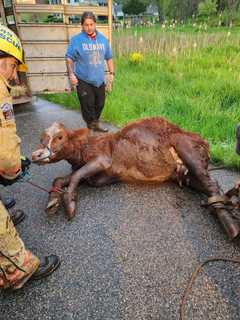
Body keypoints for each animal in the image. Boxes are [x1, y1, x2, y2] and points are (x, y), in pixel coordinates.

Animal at [32, 117, 240, 240]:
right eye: (41, 138)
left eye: (60, 137)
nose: (36, 154)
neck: (83, 150)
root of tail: (203, 140)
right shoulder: (98, 176)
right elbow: (60, 179)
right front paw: (53, 201)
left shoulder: (102, 160)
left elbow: (75, 176)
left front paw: (69, 203)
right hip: (184, 175)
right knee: (213, 186)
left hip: (188, 150)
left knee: (211, 184)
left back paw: (231, 228)